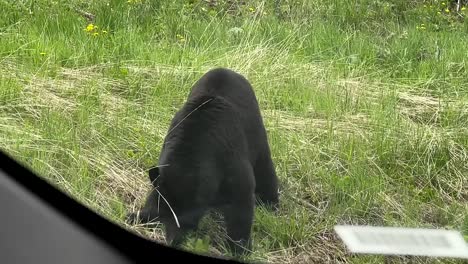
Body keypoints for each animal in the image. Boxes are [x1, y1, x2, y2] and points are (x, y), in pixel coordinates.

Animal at [126, 67, 278, 256]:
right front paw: (137, 216)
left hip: (256, 137)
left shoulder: (234, 169)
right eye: (164, 217)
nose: (172, 241)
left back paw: (270, 203)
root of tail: (226, 69)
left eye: (188, 222)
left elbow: (241, 208)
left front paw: (239, 249)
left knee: (264, 168)